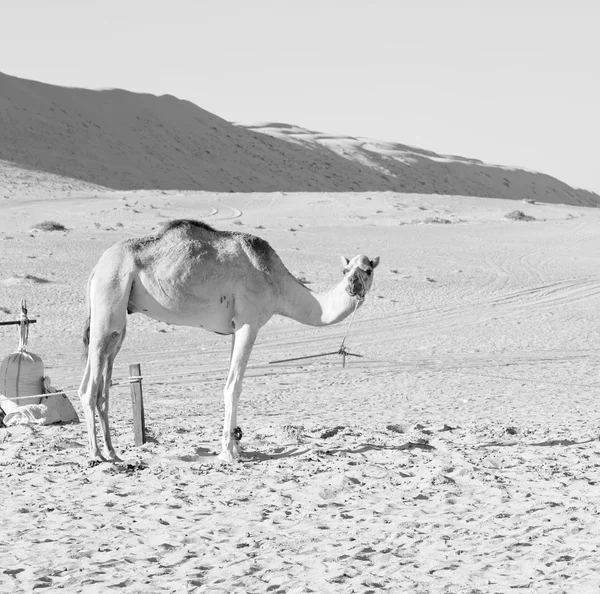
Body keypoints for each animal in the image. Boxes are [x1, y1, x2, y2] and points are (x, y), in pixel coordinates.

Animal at [79, 219, 380, 462]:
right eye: (346, 271)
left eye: (368, 270)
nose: (353, 285)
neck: (278, 283)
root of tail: (96, 268)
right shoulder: (249, 322)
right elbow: (233, 386)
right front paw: (228, 453)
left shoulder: (236, 328)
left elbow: (232, 383)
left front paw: (236, 447)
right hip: (109, 299)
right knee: (89, 387)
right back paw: (96, 455)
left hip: (117, 322)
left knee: (103, 383)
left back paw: (113, 452)